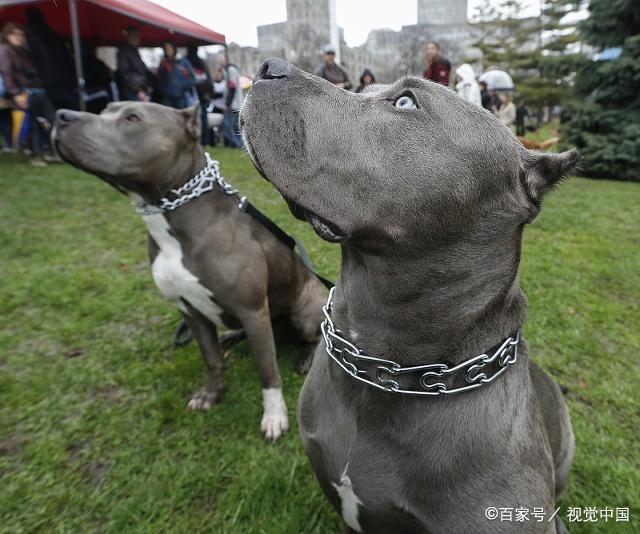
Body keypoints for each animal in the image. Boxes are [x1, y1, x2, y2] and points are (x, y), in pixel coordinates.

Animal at [52, 103, 328, 444]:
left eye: (132, 117)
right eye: (104, 110)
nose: (61, 115)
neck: (172, 217)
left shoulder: (251, 309)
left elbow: (268, 371)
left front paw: (275, 417)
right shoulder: (191, 311)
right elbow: (211, 360)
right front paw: (212, 394)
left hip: (302, 311)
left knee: (312, 336)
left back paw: (306, 357)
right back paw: (229, 337)